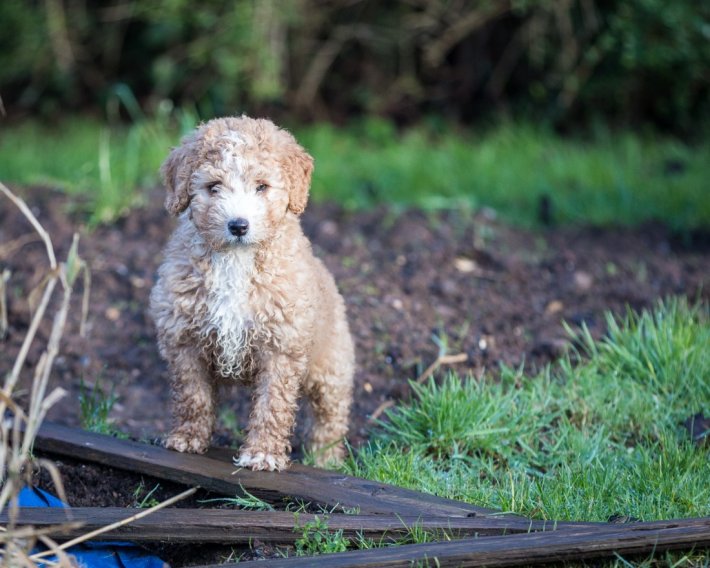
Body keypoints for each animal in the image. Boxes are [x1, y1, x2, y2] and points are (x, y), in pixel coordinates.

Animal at [149, 115, 354, 470]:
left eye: (262, 186)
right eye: (213, 187)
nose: (238, 225)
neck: (236, 260)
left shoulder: (282, 347)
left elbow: (272, 405)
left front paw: (263, 453)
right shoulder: (183, 340)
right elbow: (193, 395)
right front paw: (188, 438)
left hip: (331, 365)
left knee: (330, 416)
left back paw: (325, 459)